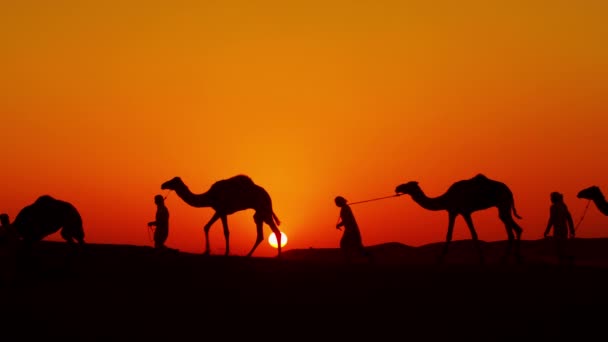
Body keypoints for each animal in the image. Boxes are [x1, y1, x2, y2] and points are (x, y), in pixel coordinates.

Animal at [394, 174, 524, 264]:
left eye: (409, 185)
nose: (397, 187)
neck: (446, 198)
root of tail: (509, 191)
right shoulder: (453, 211)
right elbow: (449, 235)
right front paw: (440, 260)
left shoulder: (465, 211)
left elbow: (474, 235)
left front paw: (481, 259)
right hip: (503, 206)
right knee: (515, 229)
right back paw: (515, 259)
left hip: (503, 203)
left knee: (511, 229)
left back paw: (506, 259)